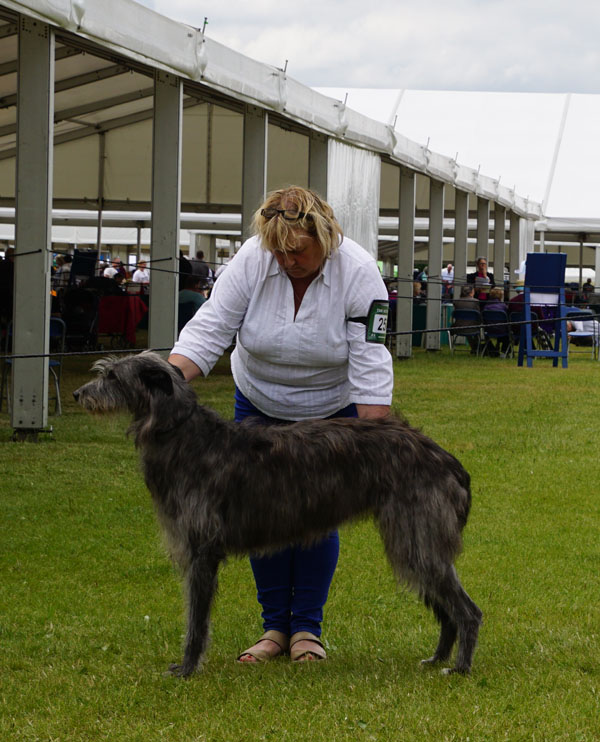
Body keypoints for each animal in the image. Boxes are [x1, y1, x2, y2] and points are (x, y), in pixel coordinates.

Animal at [74, 354, 482, 680]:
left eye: (112, 376)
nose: (79, 394)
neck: (182, 434)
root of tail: (447, 460)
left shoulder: (202, 553)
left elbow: (196, 621)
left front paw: (187, 669)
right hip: (414, 540)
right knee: (448, 610)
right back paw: (437, 659)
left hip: (416, 538)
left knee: (468, 611)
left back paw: (459, 667)